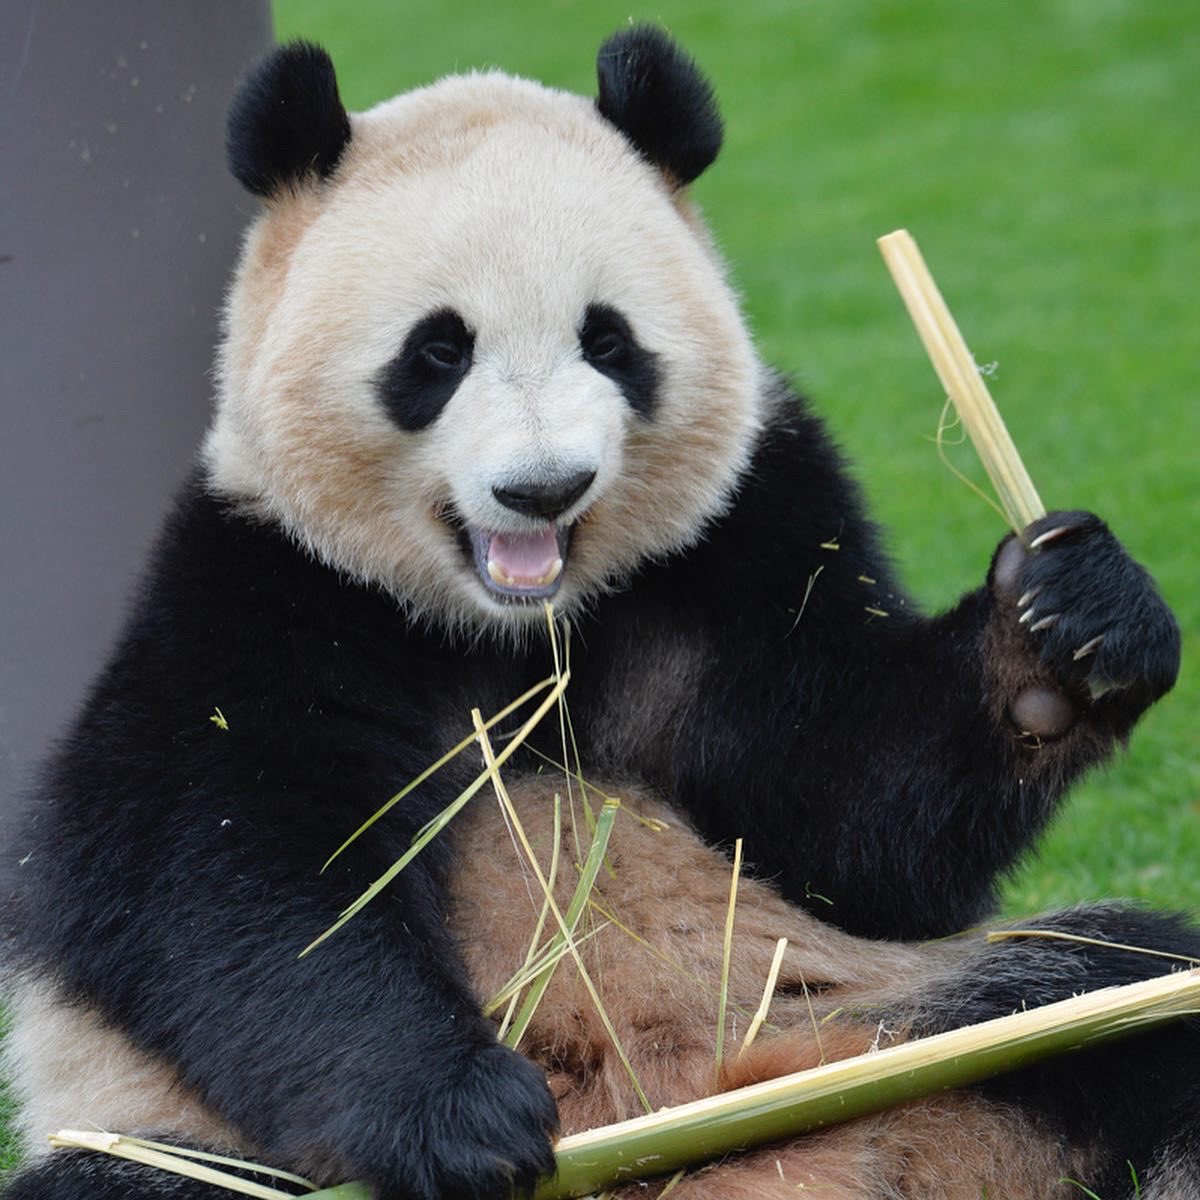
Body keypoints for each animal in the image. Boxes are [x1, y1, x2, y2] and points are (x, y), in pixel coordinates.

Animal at [1, 25, 1195, 1200]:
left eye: (609, 341)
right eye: (439, 350)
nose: (543, 488)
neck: (527, 625)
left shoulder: (744, 531)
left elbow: (850, 819)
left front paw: (1063, 638)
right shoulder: (265, 580)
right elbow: (218, 867)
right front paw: (458, 1118)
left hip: (882, 1016)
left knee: (1115, 994)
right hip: (181, 1140)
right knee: (125, 1180)